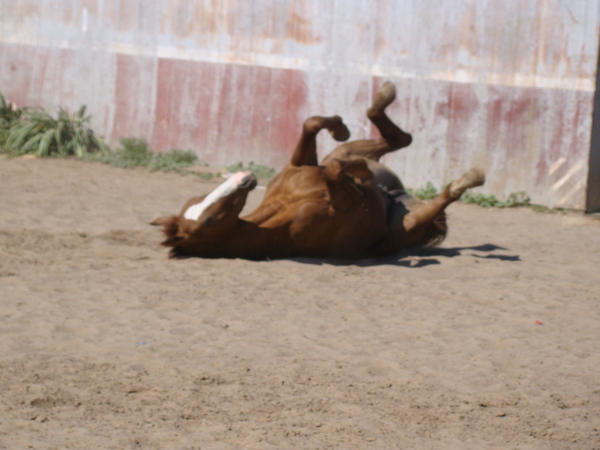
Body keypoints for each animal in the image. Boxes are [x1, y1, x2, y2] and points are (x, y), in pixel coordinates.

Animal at [152, 82, 485, 260]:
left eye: (198, 200)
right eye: (208, 221)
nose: (242, 178)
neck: (284, 209)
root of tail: (401, 197)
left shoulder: (301, 164)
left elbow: (311, 123)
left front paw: (338, 127)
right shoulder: (343, 202)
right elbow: (337, 172)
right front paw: (358, 175)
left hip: (355, 150)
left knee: (397, 137)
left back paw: (382, 98)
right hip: (412, 223)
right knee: (447, 194)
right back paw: (471, 178)